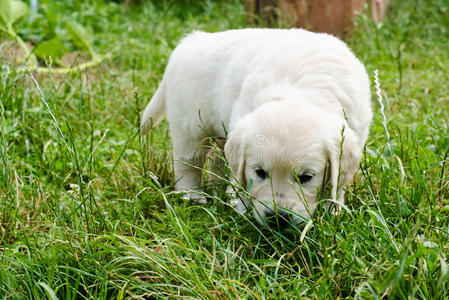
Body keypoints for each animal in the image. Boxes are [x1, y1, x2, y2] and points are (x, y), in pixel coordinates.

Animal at [141, 28, 372, 225]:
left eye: (306, 178)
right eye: (260, 172)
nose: (278, 219)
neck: (303, 90)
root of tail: (191, 40)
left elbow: (337, 184)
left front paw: (333, 212)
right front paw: (244, 210)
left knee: (220, 159)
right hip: (189, 125)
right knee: (188, 162)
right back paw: (192, 196)